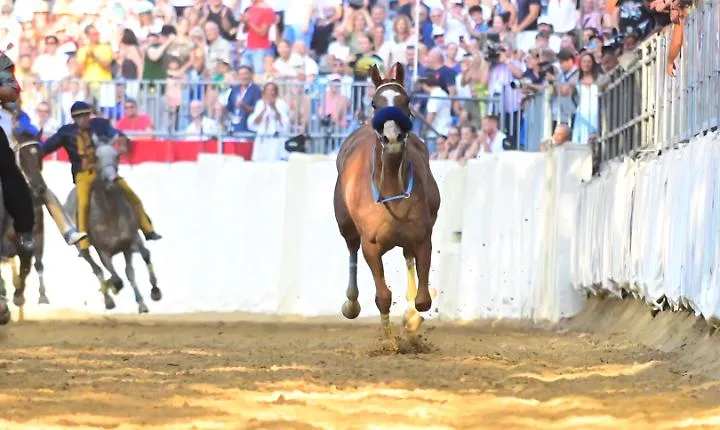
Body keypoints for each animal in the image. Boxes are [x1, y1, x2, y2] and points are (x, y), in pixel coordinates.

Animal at [64, 134, 161, 313]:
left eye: (117, 156)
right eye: (96, 157)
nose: (112, 179)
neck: (110, 214)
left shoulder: (130, 241)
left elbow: (142, 258)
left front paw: (153, 292)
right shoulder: (104, 252)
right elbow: (115, 276)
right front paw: (113, 286)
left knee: (127, 271)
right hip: (84, 251)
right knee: (97, 269)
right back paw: (108, 299)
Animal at [333, 63, 441, 350]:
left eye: (406, 101)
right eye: (375, 103)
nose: (392, 137)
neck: (392, 186)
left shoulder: (422, 237)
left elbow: (423, 299)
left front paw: (412, 320)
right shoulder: (371, 244)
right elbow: (382, 295)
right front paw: (391, 342)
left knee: (408, 259)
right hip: (345, 225)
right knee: (351, 249)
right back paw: (351, 303)